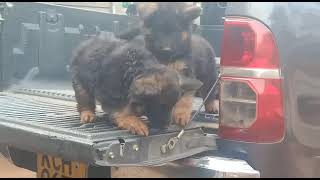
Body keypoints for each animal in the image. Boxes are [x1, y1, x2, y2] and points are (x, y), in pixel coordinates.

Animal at [71, 32, 202, 136]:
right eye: (161, 105)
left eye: (172, 106)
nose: (165, 127)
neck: (136, 69)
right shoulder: (111, 95)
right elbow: (122, 110)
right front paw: (134, 122)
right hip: (80, 84)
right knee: (84, 100)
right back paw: (87, 113)